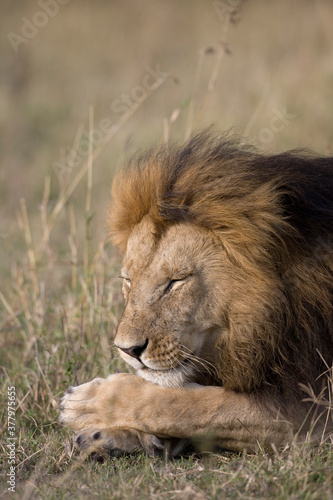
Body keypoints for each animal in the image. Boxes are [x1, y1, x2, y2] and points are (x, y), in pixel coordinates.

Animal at [59, 132, 332, 458]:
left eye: (176, 282)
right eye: (128, 281)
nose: (128, 350)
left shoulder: (313, 408)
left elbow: (196, 404)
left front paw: (91, 402)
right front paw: (106, 437)